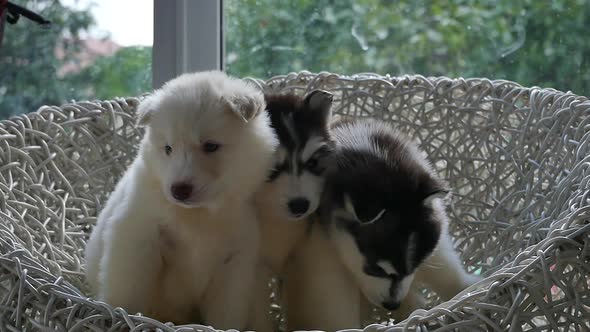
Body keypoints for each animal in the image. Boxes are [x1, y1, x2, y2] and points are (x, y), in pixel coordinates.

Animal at [84, 70, 278, 330]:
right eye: (168, 148)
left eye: (210, 146)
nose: (179, 190)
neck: (197, 214)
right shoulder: (136, 235)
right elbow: (128, 290)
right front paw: (119, 316)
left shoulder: (234, 262)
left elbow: (226, 314)